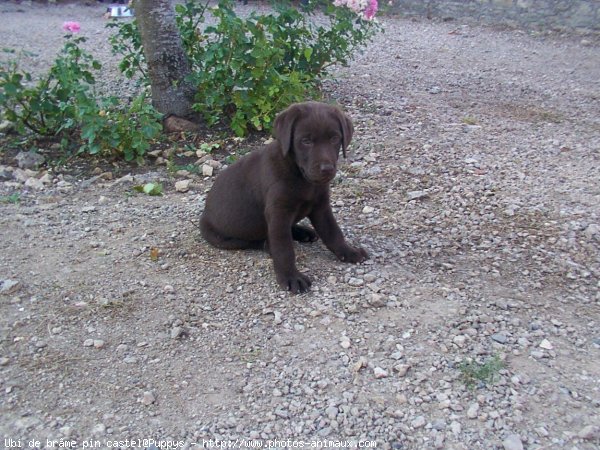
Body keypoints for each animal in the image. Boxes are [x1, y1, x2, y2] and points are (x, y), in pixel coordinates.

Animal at [202, 100, 368, 294]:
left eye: (334, 138)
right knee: (258, 240)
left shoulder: (321, 206)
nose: (327, 169)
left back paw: (303, 232)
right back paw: (271, 245)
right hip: (224, 238)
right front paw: (290, 277)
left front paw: (348, 252)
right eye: (306, 141)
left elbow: (333, 232)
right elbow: (283, 247)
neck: (301, 176)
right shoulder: (278, 212)